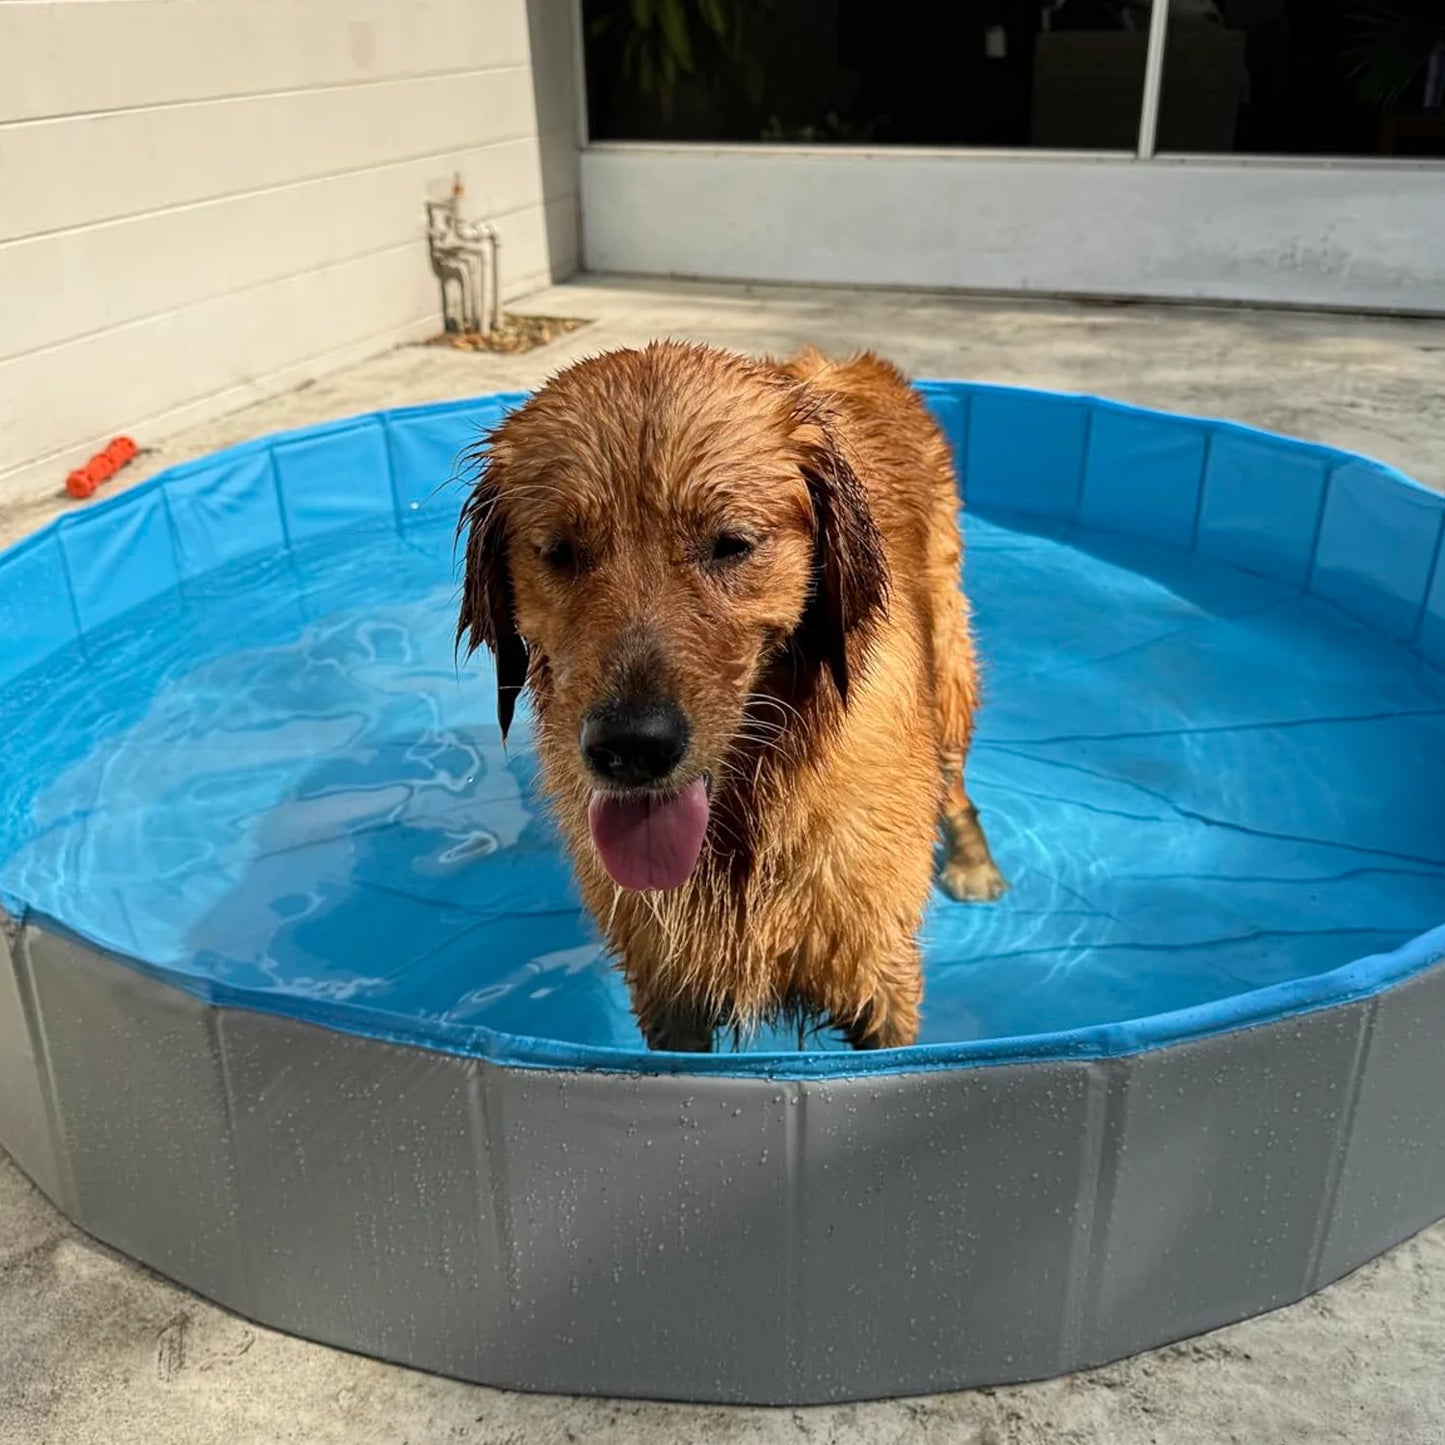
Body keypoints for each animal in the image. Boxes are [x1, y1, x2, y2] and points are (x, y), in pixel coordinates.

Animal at [462, 343, 1005, 1057]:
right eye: (560, 552)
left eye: (731, 544)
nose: (632, 747)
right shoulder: (666, 990)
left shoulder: (878, 973)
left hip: (949, 666)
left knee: (955, 782)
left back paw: (975, 864)